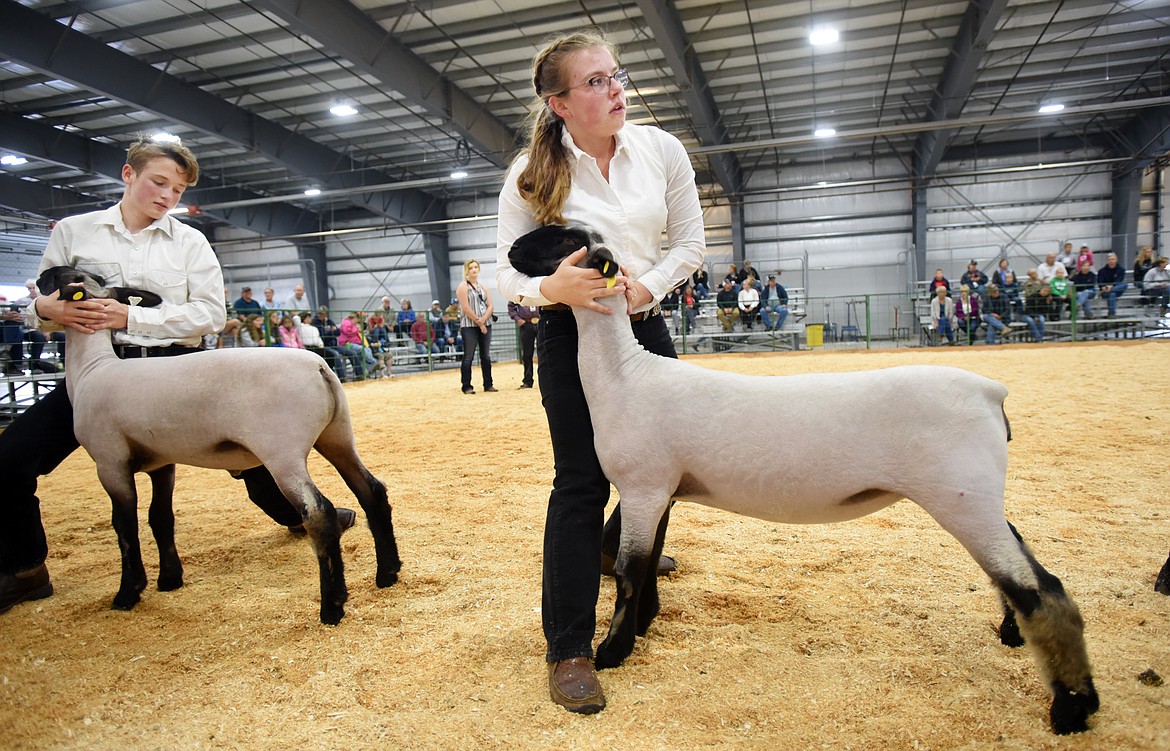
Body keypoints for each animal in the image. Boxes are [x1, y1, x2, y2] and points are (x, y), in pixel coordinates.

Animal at [37, 266, 402, 622]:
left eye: (62, 275)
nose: (39, 278)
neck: (91, 370)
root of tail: (319, 366)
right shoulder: (162, 463)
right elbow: (161, 517)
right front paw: (169, 579)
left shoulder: (109, 462)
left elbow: (125, 528)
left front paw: (128, 593)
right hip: (337, 436)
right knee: (371, 490)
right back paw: (388, 573)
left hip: (281, 451)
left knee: (318, 513)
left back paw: (332, 606)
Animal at [510, 226, 1095, 729]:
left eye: (564, 237)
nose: (511, 250)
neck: (624, 375)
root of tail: (991, 391)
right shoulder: (662, 492)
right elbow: (650, 563)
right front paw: (644, 625)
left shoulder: (642, 486)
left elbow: (630, 571)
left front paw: (613, 651)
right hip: (975, 493)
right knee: (1020, 562)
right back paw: (1014, 636)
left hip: (960, 495)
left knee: (1041, 588)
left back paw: (1074, 707)